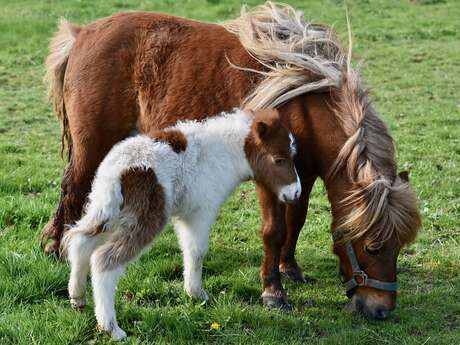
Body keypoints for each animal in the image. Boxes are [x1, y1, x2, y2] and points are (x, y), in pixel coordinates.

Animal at [61, 109, 300, 340]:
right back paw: (111, 328)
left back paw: (77, 298)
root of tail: (116, 171)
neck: (224, 153)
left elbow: (188, 251)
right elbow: (197, 252)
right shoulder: (201, 212)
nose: (296, 192)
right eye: (278, 159)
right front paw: (197, 294)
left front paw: (192, 292)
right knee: (103, 260)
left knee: (81, 243)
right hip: (145, 217)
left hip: (108, 211)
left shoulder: (186, 216)